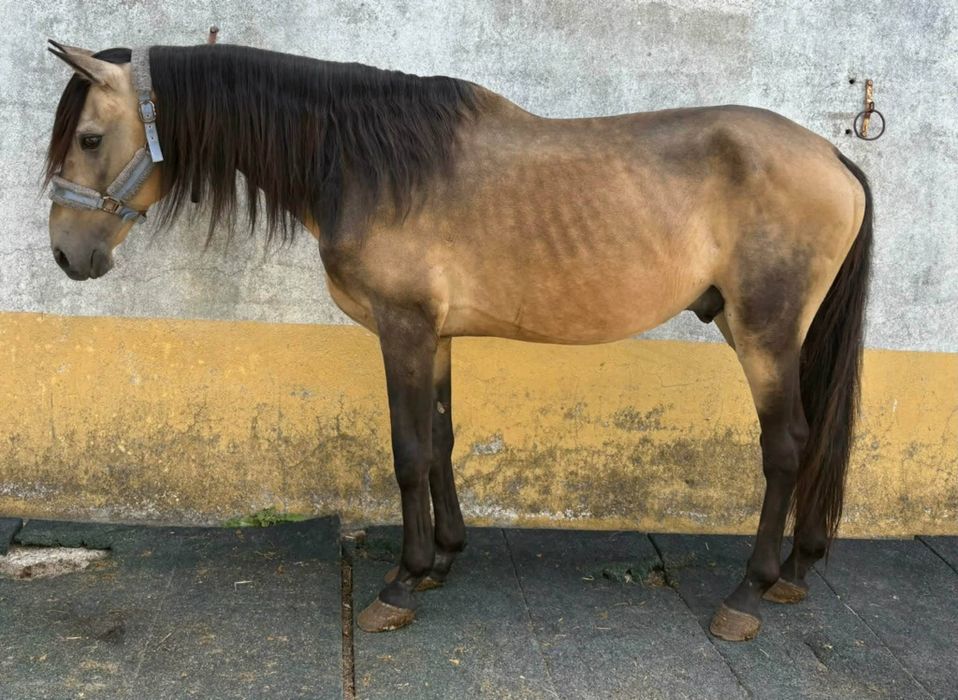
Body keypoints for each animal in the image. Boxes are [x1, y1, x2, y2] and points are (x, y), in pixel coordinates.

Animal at [43, 41, 871, 642]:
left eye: (90, 137)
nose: (65, 255)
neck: (368, 159)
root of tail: (831, 155)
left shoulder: (404, 328)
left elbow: (408, 451)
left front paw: (401, 581)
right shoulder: (435, 336)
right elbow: (440, 440)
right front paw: (442, 558)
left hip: (763, 331)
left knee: (788, 447)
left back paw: (749, 592)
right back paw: (798, 568)